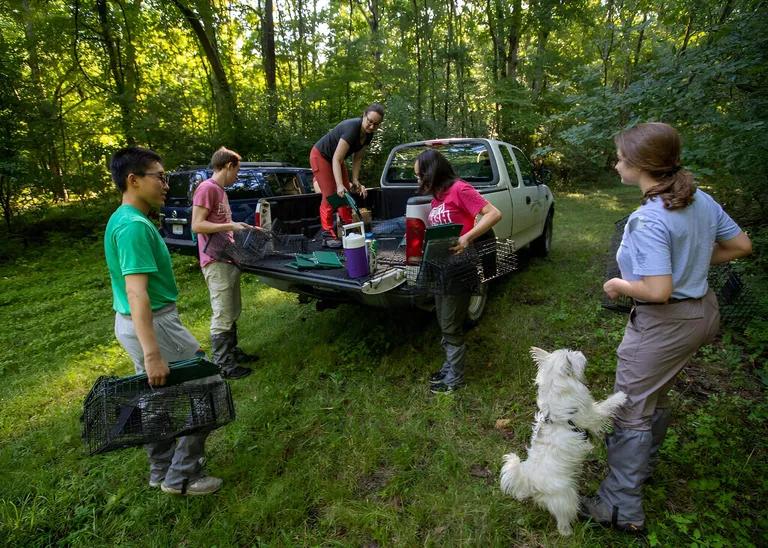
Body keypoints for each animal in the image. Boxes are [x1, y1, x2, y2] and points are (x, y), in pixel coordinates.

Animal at [500, 346, 628, 536]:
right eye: (573, 355)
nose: (580, 352)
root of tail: (530, 483)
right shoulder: (590, 415)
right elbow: (604, 407)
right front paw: (621, 396)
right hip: (566, 498)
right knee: (563, 519)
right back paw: (569, 533)